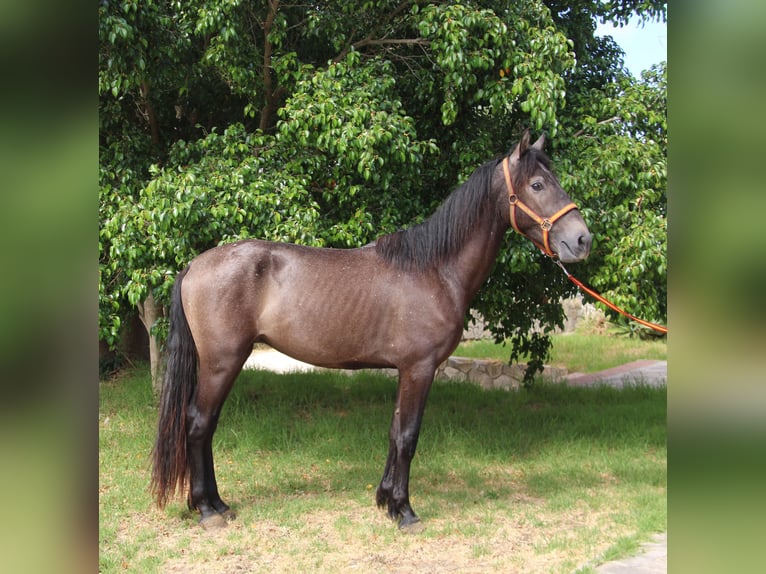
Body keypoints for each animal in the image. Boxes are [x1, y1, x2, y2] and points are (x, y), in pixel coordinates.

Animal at [150, 130, 592, 532]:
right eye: (537, 185)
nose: (582, 239)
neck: (434, 269)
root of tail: (194, 265)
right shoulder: (420, 368)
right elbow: (408, 437)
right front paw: (405, 512)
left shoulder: (406, 370)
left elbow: (395, 431)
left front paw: (386, 501)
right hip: (222, 362)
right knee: (198, 424)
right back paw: (207, 510)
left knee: (207, 426)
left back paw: (218, 504)